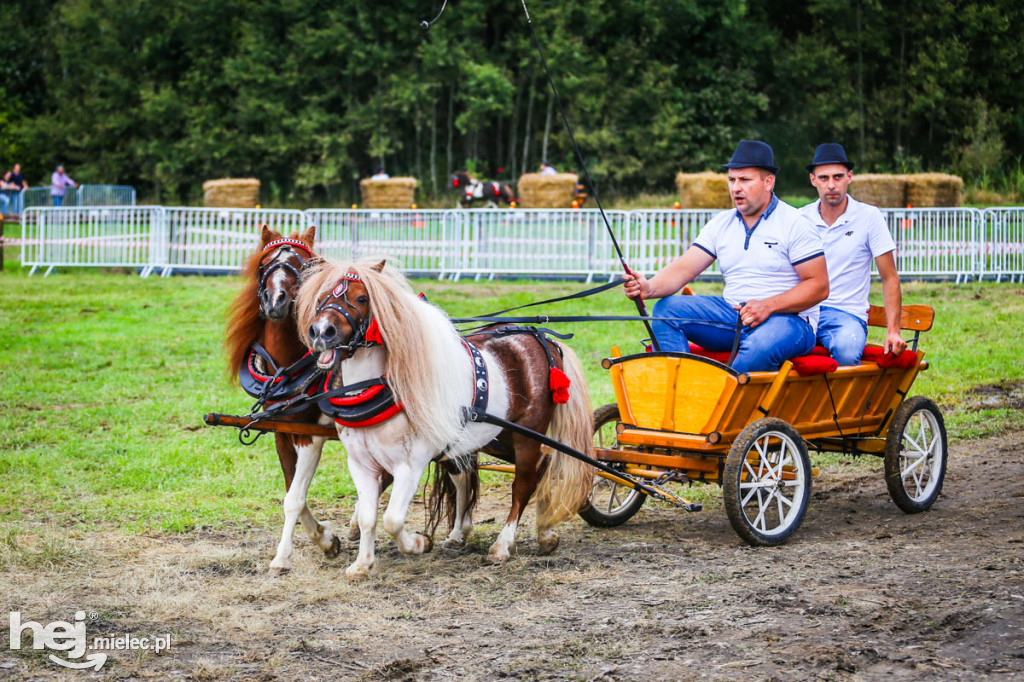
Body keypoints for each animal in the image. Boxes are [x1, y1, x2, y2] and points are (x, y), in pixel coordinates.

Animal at [226, 224, 342, 573]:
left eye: (302, 266)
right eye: (264, 265)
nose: (276, 300)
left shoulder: (310, 436)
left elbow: (294, 499)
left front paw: (281, 557)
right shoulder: (283, 432)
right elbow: (293, 491)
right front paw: (325, 539)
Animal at [292, 258, 598, 577]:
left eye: (362, 298)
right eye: (322, 296)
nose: (321, 332)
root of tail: (543, 339)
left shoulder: (410, 465)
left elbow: (392, 519)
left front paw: (418, 543)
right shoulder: (361, 463)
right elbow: (368, 516)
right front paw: (362, 563)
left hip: (526, 434)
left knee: (524, 482)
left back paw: (504, 544)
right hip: (497, 436)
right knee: (532, 468)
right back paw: (535, 532)